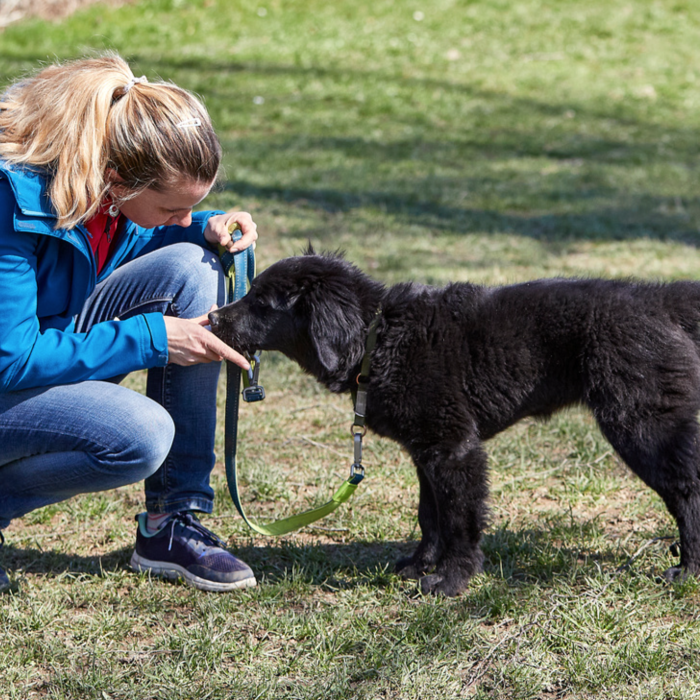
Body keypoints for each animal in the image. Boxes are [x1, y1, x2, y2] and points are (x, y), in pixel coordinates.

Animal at [209, 249, 700, 592]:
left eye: (261, 302)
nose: (213, 317)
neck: (380, 337)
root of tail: (660, 300)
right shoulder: (426, 453)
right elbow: (431, 515)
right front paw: (419, 565)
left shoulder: (455, 450)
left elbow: (461, 518)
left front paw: (452, 579)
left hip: (642, 427)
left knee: (686, 491)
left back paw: (687, 568)